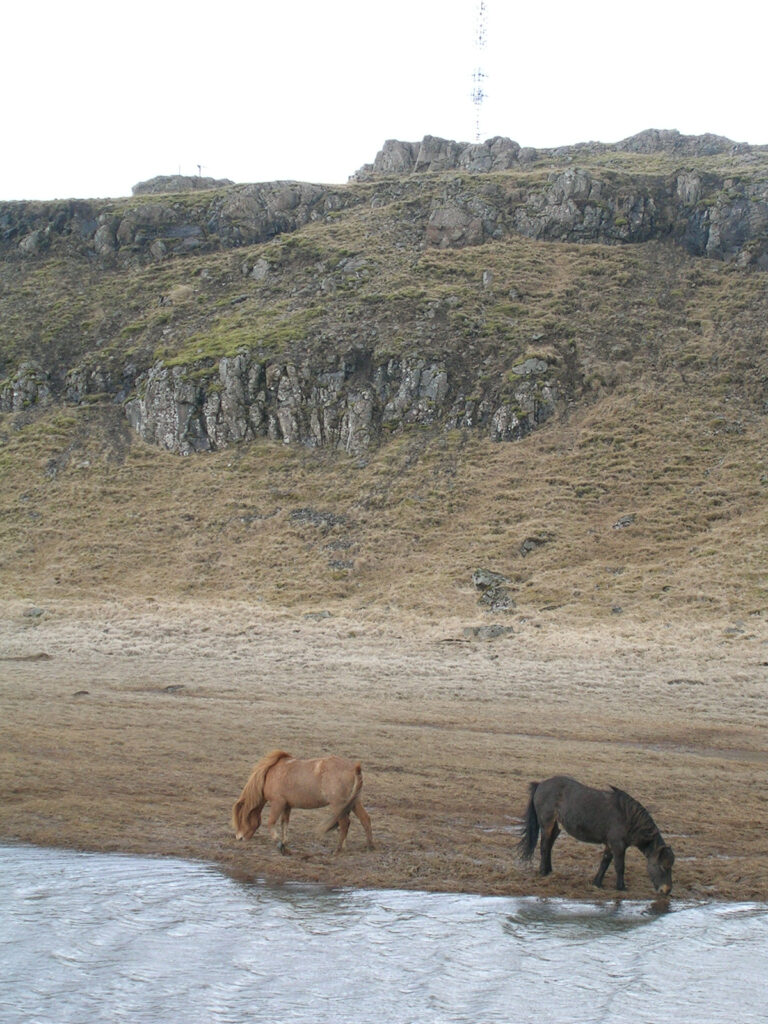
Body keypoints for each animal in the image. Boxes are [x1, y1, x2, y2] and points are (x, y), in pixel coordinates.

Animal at [232, 750, 374, 855]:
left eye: (242, 818)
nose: (239, 837)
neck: (270, 774)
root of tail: (354, 768)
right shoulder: (287, 806)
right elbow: (284, 824)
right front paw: (285, 843)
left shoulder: (278, 803)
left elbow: (271, 823)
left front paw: (280, 844)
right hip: (354, 802)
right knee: (365, 819)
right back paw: (369, 846)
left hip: (338, 804)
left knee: (345, 823)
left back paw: (338, 850)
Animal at [516, 775, 674, 894]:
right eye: (662, 866)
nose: (666, 890)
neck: (628, 818)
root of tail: (540, 784)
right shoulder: (618, 845)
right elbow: (619, 866)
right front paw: (621, 887)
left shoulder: (610, 845)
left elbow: (605, 862)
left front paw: (597, 883)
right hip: (547, 824)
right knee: (544, 846)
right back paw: (543, 871)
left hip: (555, 826)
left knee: (549, 845)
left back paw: (549, 870)